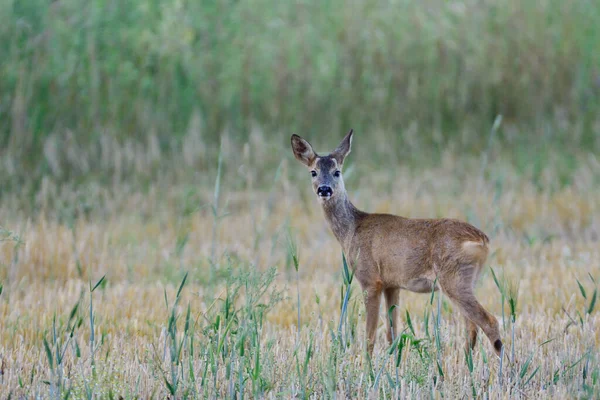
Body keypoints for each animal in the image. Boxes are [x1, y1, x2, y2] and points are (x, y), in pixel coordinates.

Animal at [290, 130, 502, 358]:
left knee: (489, 322)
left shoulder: (370, 278)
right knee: (471, 326)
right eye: (313, 172)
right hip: (468, 280)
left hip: (454, 279)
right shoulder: (392, 284)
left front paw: (367, 363)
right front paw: (393, 361)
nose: (324, 189)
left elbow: (370, 335)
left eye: (337, 171)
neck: (352, 230)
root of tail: (483, 240)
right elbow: (392, 334)